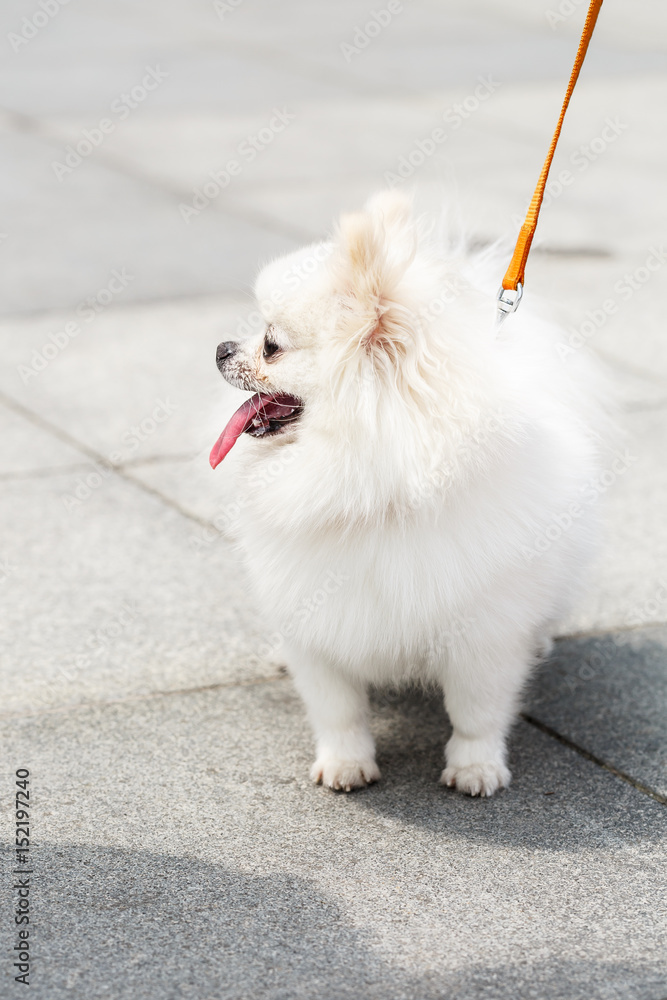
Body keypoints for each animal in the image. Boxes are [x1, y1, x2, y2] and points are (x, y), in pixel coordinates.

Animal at [210, 188, 604, 796]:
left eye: (272, 345)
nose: (222, 348)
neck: (366, 487)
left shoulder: (482, 633)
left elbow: (477, 710)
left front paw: (475, 767)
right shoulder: (318, 619)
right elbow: (337, 708)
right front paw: (346, 763)